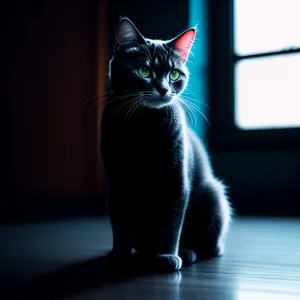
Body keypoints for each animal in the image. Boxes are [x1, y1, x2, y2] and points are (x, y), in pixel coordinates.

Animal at [101, 18, 232, 272]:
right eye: (144, 71)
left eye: (174, 74)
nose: (163, 89)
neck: (144, 124)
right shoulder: (117, 181)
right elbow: (119, 222)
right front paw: (119, 255)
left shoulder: (176, 180)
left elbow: (171, 223)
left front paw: (166, 255)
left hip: (214, 196)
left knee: (210, 247)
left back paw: (187, 253)